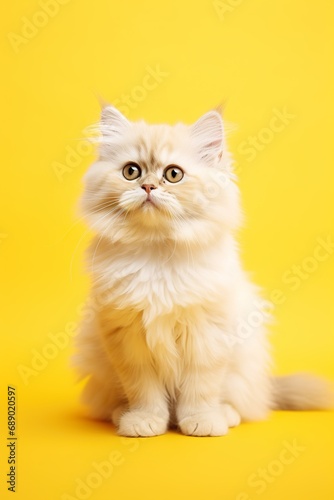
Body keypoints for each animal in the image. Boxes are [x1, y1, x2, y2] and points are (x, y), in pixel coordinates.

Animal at [75, 106, 332, 438]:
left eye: (173, 174)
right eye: (131, 171)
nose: (148, 187)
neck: (158, 255)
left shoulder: (207, 334)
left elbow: (201, 387)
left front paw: (202, 422)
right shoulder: (128, 339)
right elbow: (144, 390)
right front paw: (144, 421)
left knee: (240, 403)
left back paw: (225, 415)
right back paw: (123, 414)